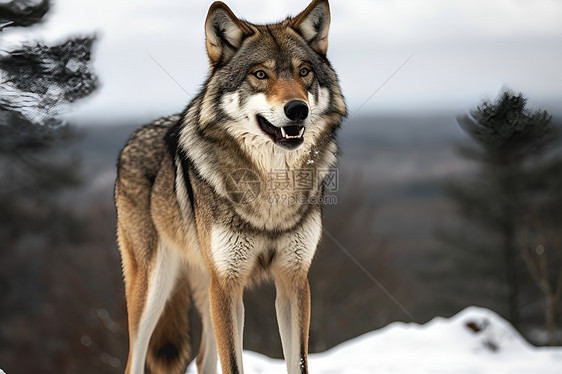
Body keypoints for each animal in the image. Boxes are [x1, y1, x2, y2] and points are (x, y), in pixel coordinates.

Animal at [116, 1, 346, 372]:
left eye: (304, 72)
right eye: (260, 75)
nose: (297, 109)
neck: (272, 187)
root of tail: (133, 137)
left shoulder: (293, 280)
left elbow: (297, 362)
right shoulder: (227, 283)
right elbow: (234, 364)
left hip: (204, 284)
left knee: (204, 357)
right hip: (154, 288)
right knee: (134, 359)